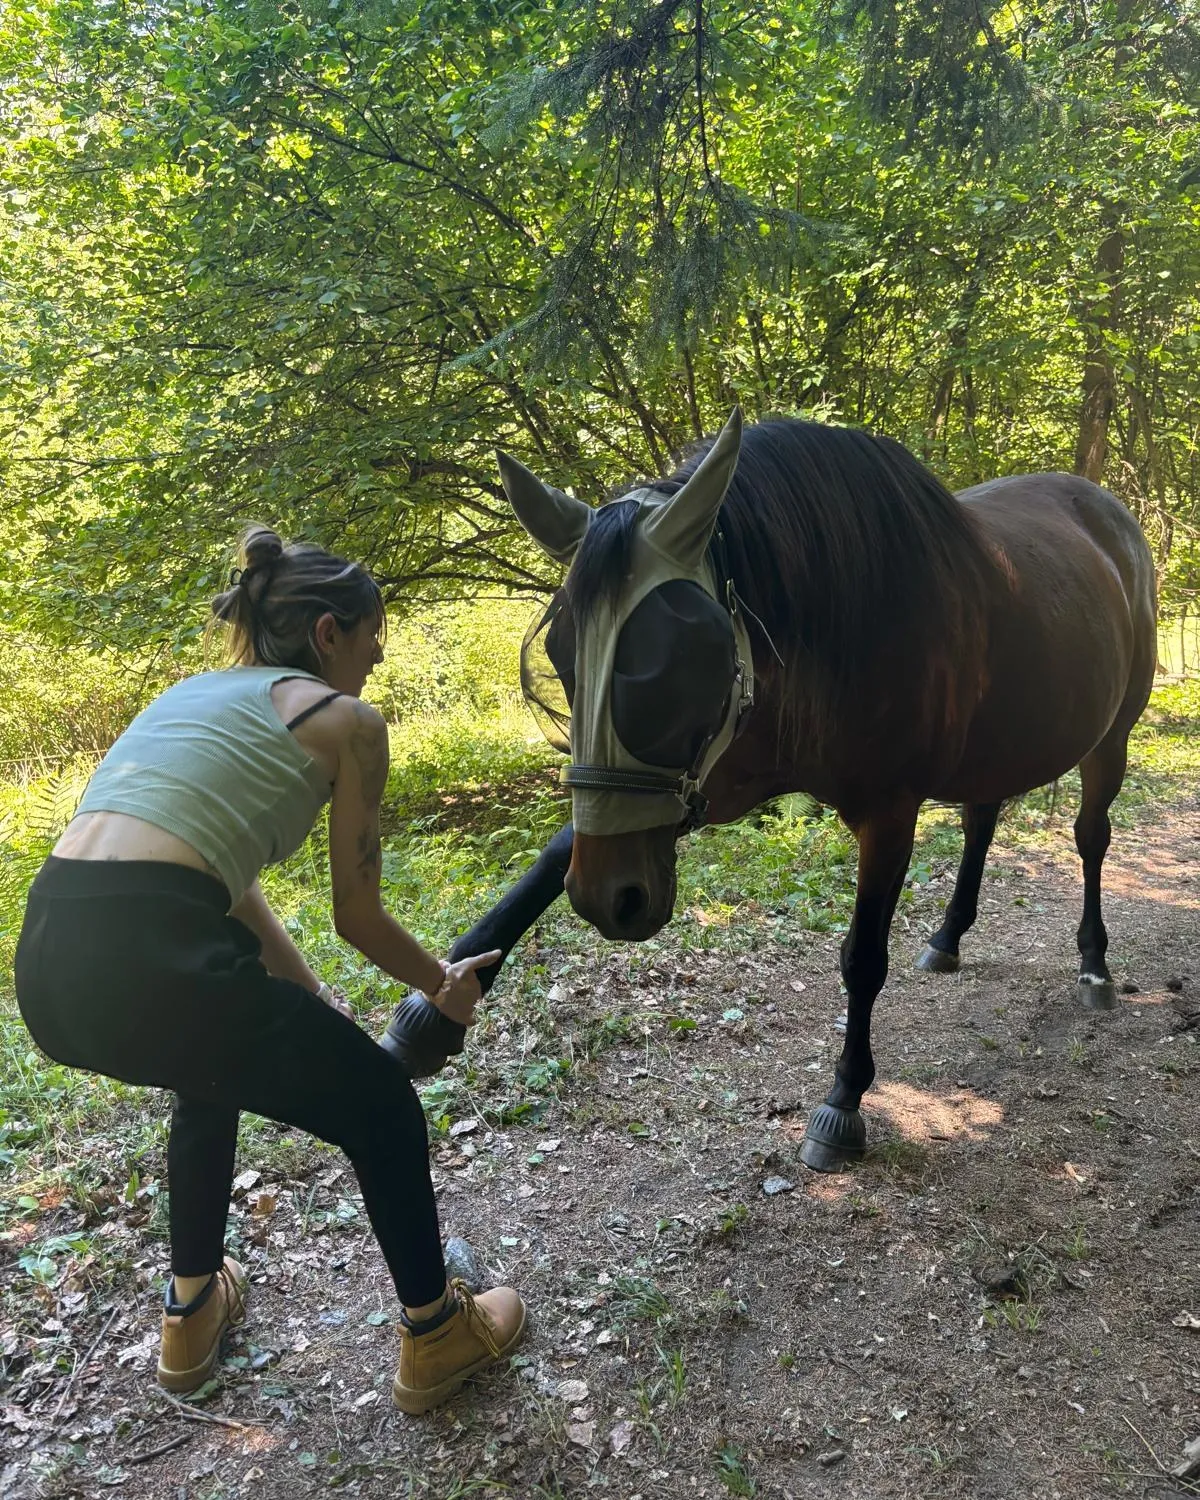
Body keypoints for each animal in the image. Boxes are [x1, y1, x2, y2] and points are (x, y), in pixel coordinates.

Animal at [383, 409, 1157, 1173]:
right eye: (557, 653)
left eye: (683, 653)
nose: (611, 900)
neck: (839, 620)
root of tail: (1111, 512)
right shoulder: (708, 777)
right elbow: (549, 858)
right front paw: (435, 1005)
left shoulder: (887, 813)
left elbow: (862, 958)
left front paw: (844, 1101)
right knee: (982, 821)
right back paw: (948, 936)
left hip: (1111, 736)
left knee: (1090, 838)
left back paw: (1093, 965)